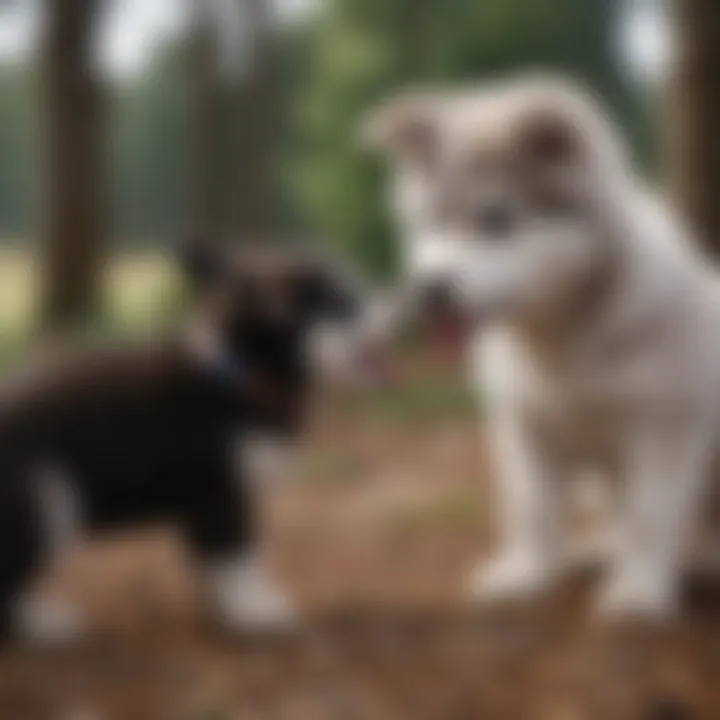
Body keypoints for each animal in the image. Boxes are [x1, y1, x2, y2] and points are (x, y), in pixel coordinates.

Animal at [0, 242, 362, 640]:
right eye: (337, 306)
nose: (376, 311)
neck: (240, 374)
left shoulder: (210, 503)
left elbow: (216, 560)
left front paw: (223, 608)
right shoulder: (222, 495)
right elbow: (239, 556)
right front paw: (254, 610)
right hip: (48, 499)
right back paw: (43, 624)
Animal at [368, 77, 720, 620]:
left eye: (496, 220)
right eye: (431, 223)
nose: (429, 289)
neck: (564, 341)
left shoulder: (668, 424)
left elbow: (649, 511)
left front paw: (638, 591)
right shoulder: (525, 424)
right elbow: (531, 506)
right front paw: (527, 576)